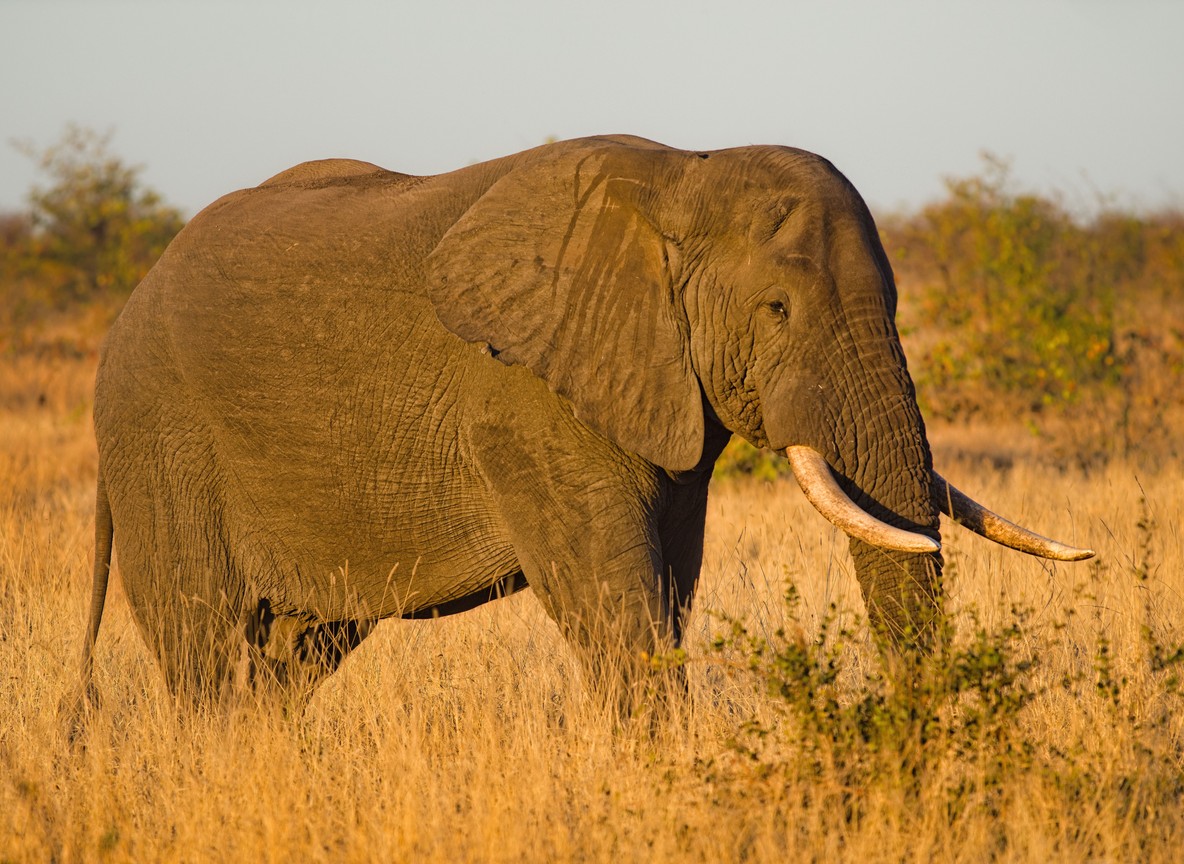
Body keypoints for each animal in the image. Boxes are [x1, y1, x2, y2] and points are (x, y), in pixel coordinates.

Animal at [66, 135, 1093, 719]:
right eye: (776, 311)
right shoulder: (524, 399)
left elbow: (669, 583)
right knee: (203, 649)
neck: (681, 178)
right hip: (159, 438)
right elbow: (611, 597)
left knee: (292, 661)